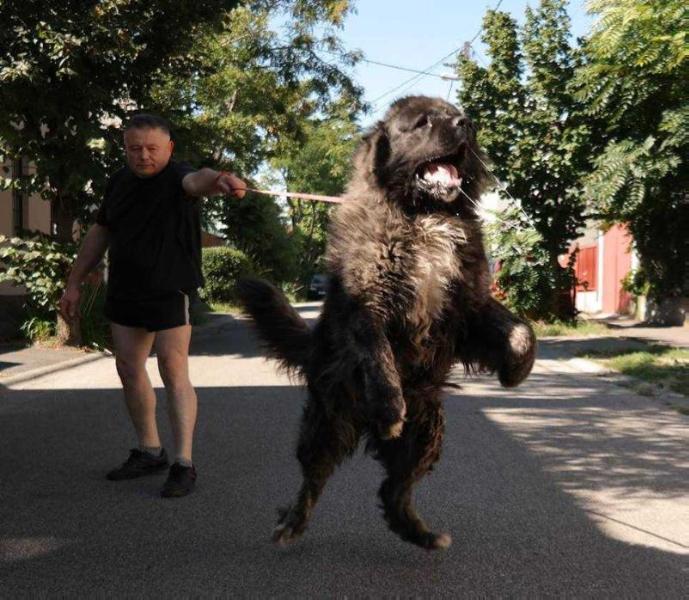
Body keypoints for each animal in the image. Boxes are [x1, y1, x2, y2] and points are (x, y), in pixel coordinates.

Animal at [238, 96, 536, 552]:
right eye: (423, 122)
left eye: (457, 113)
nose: (466, 123)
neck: (423, 214)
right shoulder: (370, 305)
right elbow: (380, 359)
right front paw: (390, 408)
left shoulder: (466, 307)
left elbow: (522, 330)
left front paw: (517, 369)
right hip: (328, 421)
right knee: (314, 478)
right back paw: (292, 522)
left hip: (425, 433)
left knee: (393, 491)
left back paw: (423, 535)